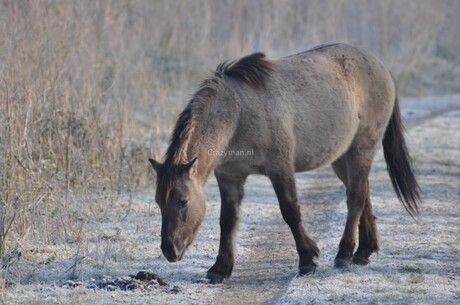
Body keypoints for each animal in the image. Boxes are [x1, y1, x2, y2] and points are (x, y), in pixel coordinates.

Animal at [150, 42, 420, 282]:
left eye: (183, 202)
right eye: (158, 202)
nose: (170, 251)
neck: (238, 114)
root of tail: (380, 66)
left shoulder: (280, 168)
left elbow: (290, 211)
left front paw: (307, 260)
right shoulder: (230, 177)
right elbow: (227, 221)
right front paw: (220, 269)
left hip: (361, 149)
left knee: (355, 198)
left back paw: (344, 255)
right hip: (342, 158)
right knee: (363, 193)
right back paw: (363, 252)